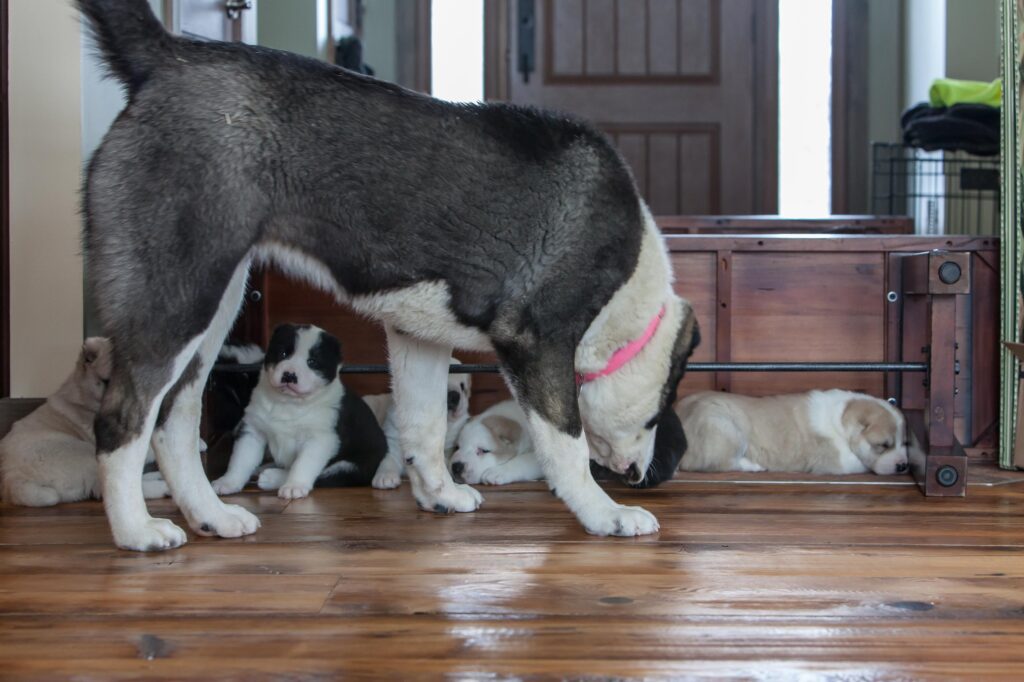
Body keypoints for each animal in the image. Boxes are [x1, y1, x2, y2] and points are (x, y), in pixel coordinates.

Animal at [209, 321, 385, 497]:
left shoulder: (320, 439)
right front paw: (228, 482)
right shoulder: (253, 429)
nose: (289, 375)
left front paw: (294, 486)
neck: (288, 403)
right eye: (283, 353)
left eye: (312, 362)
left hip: (351, 468)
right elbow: (241, 459)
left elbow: (303, 464)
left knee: (324, 475)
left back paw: (271, 477)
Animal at [675, 385, 909, 475]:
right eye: (883, 445)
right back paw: (754, 466)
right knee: (717, 462)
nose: (903, 466)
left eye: (905, 443)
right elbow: (860, 463)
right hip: (724, 428)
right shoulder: (836, 460)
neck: (842, 420)